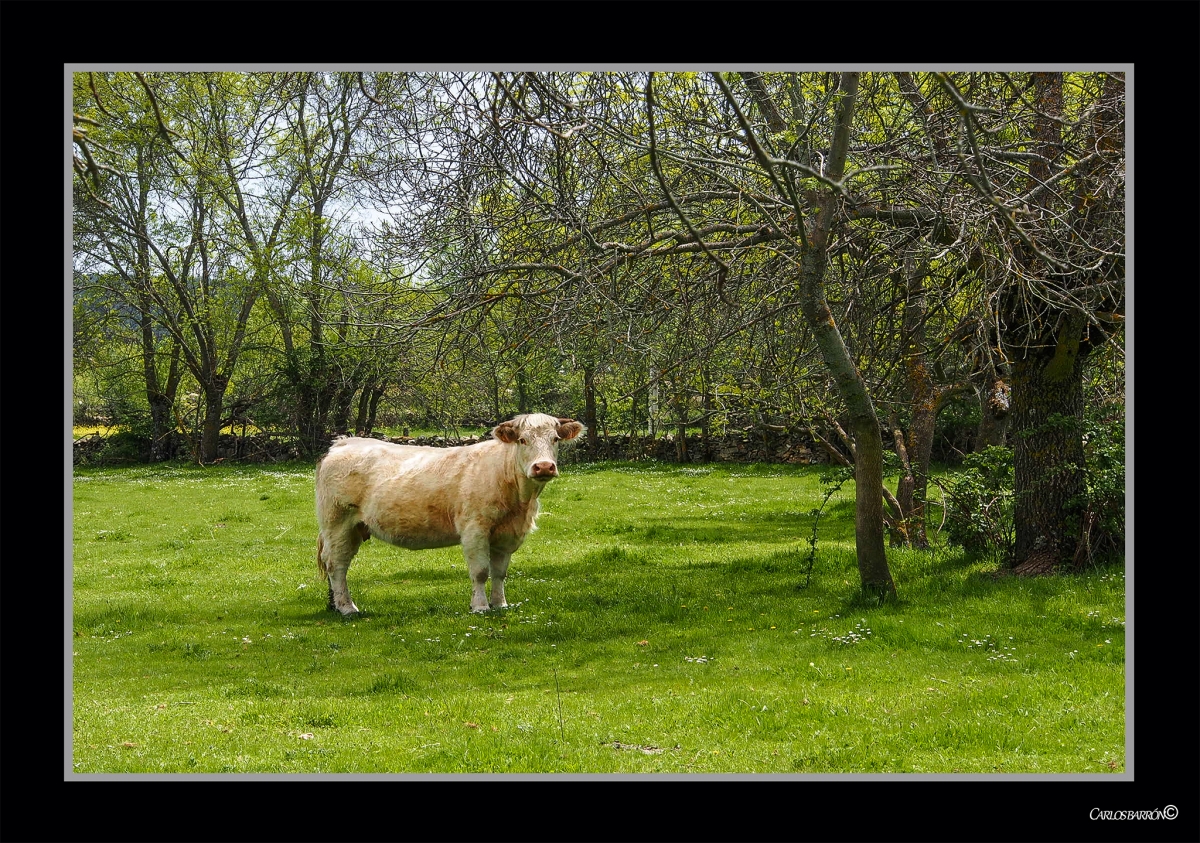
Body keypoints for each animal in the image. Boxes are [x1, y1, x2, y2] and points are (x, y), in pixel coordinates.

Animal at [316, 415, 583, 614]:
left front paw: (500, 604)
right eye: (522, 440)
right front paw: (480, 607)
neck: (520, 501)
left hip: (353, 528)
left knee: (337, 564)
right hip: (338, 524)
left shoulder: (507, 535)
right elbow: (480, 571)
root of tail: (343, 443)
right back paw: (347, 608)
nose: (544, 466)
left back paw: (334, 605)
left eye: (555, 439)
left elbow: (499, 573)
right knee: (336, 564)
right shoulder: (475, 529)